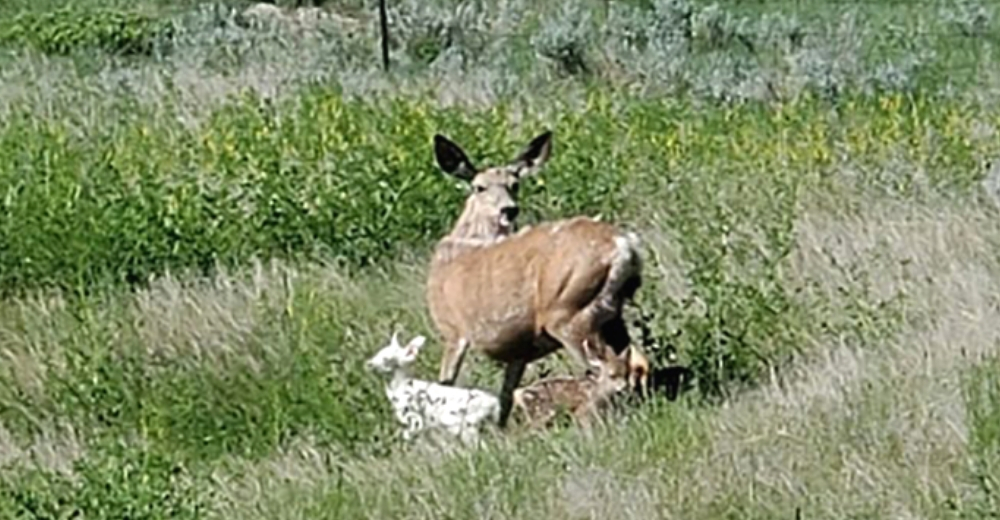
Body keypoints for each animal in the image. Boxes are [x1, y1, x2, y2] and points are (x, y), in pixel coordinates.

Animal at [426, 129, 644, 426]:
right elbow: (505, 397)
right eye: (479, 187)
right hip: (612, 313)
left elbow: (446, 383)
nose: (509, 210)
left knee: (602, 370)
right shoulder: (519, 348)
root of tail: (625, 245)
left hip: (568, 312)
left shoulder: (453, 330)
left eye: (514, 184)